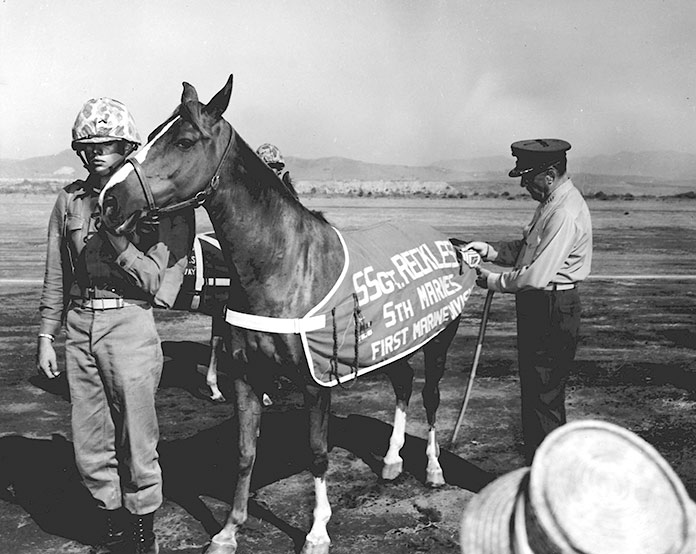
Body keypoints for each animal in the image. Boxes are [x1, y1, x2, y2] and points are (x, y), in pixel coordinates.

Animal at [98, 74, 476, 552]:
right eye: (148, 136)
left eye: (183, 140)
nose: (109, 200)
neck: (285, 268)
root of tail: (452, 243)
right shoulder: (246, 375)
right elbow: (245, 453)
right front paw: (229, 530)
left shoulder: (317, 383)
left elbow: (317, 454)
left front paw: (317, 532)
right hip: (397, 341)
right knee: (404, 384)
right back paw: (391, 462)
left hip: (438, 340)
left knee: (430, 398)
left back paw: (432, 470)